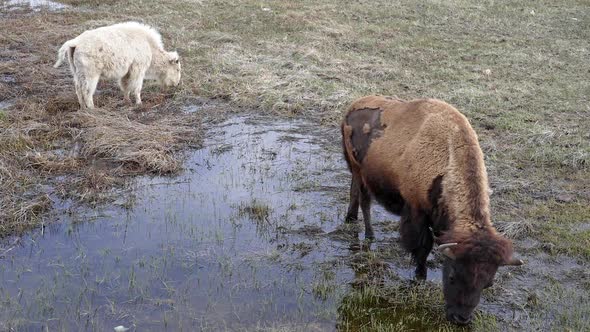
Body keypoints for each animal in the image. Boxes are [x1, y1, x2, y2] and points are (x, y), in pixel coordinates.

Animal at [54, 21, 182, 109]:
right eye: (177, 69)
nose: (176, 84)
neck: (149, 45)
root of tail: (75, 43)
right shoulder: (138, 70)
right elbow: (136, 88)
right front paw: (139, 103)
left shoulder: (127, 72)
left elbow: (125, 86)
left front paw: (127, 101)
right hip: (91, 76)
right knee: (87, 92)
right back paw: (92, 108)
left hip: (77, 74)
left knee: (78, 90)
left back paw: (83, 108)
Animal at [342, 95, 524, 324]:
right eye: (452, 276)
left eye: (487, 283)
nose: (460, 319)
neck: (448, 160)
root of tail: (353, 105)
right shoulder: (416, 212)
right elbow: (422, 246)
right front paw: (420, 275)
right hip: (360, 171)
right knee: (365, 201)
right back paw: (369, 235)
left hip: (357, 173)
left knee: (354, 193)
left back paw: (350, 218)